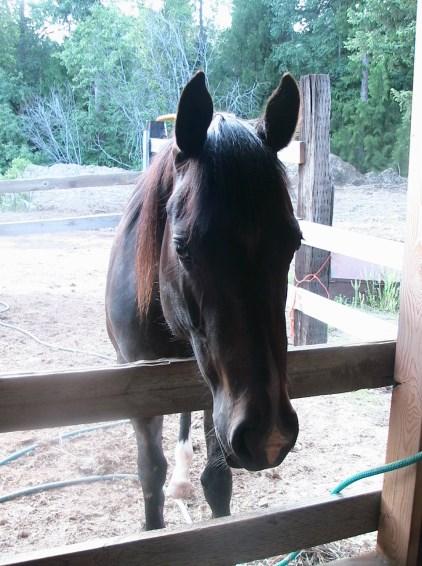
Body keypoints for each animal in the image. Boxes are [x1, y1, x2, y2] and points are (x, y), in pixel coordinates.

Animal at [105, 71, 302, 530]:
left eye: (294, 242)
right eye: (182, 246)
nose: (269, 434)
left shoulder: (220, 395)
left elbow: (217, 478)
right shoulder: (138, 386)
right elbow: (149, 474)